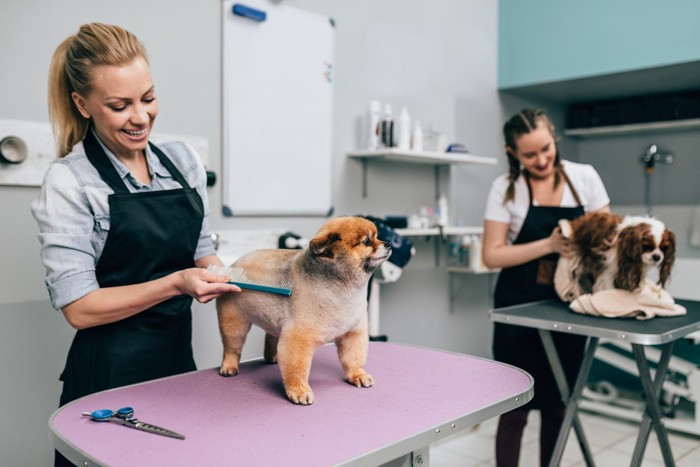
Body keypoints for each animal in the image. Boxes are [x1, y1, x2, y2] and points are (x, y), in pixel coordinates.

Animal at [216, 218, 392, 404]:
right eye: (366, 241)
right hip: (234, 322)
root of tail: (233, 266)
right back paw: (229, 366)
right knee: (232, 347)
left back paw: (272, 356)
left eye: (377, 236)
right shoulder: (298, 338)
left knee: (271, 336)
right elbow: (297, 368)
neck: (342, 289)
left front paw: (357, 375)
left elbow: (353, 358)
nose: (388, 243)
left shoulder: (353, 332)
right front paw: (299, 391)